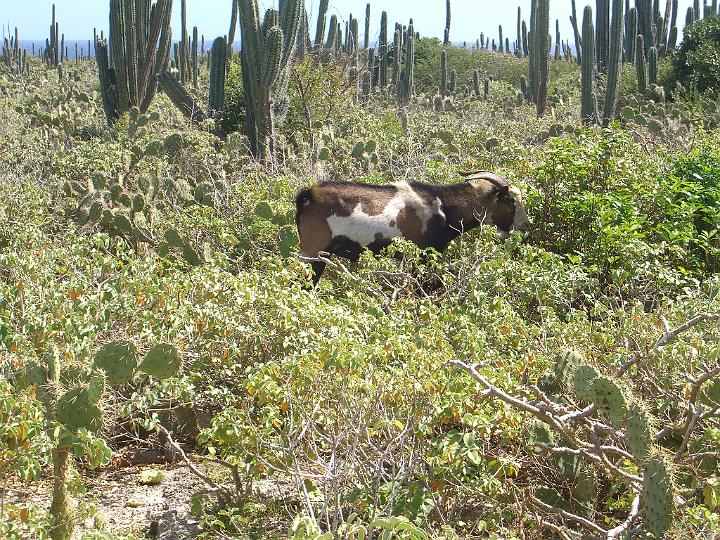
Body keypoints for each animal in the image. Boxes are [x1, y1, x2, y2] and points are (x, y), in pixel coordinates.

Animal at [294, 172, 528, 282]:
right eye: (511, 202)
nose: (525, 226)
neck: (443, 205)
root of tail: (309, 196)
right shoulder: (424, 255)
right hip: (313, 253)